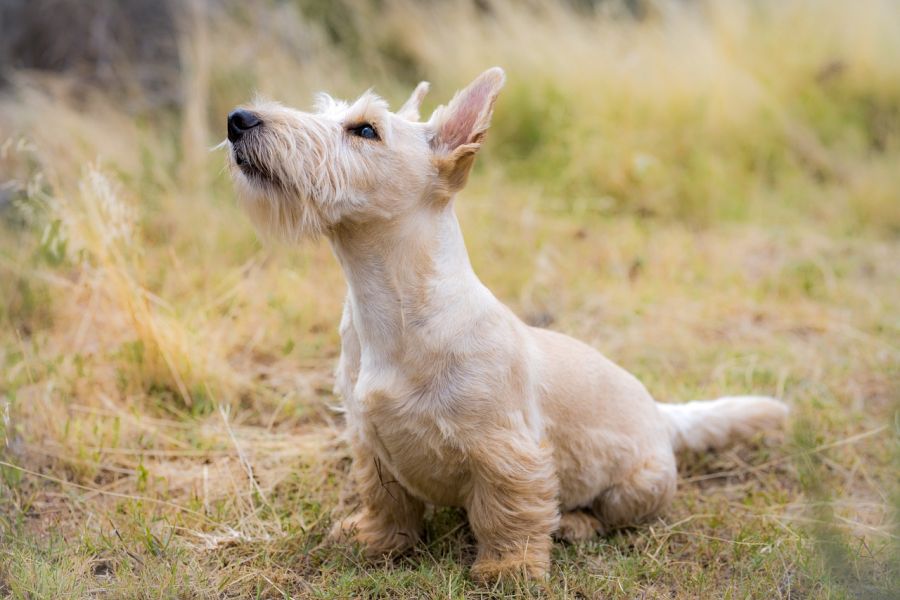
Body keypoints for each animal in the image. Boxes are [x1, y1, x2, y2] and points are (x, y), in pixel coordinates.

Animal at [225, 67, 788, 580]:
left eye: (365, 129)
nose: (238, 119)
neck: (389, 307)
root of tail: (662, 414)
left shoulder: (505, 453)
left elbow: (507, 515)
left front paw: (506, 571)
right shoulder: (370, 442)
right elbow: (387, 502)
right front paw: (376, 542)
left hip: (638, 486)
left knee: (609, 515)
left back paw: (574, 524)